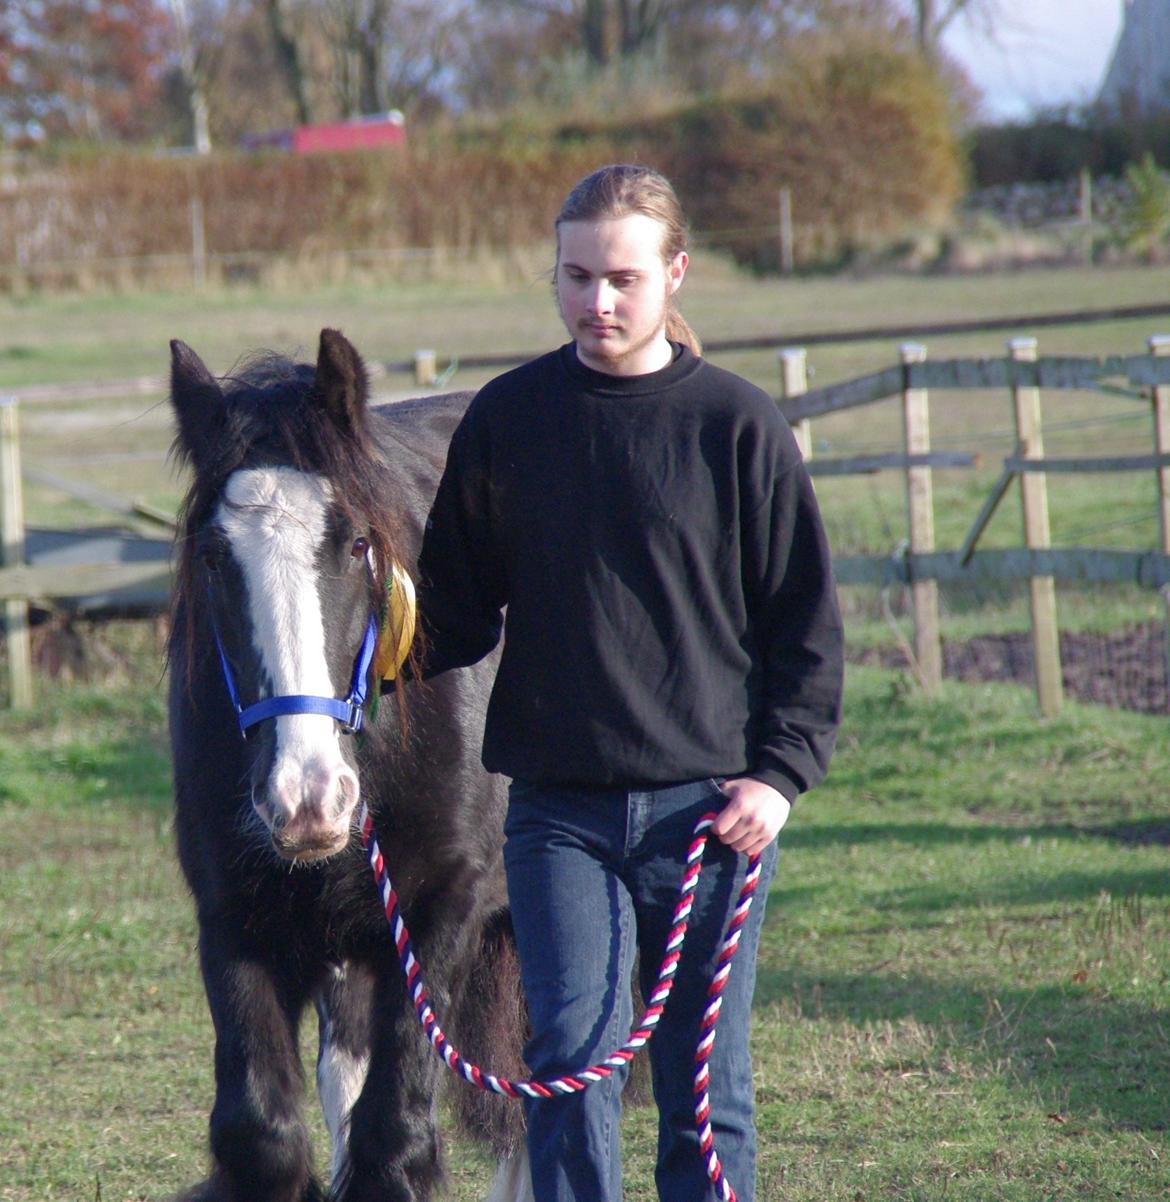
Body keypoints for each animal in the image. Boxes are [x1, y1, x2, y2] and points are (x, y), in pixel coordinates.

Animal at [168, 329, 529, 1202]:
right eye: (213, 558)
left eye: (358, 543)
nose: (308, 799)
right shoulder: (234, 917)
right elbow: (264, 1136)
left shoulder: (441, 910)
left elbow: (392, 1141)